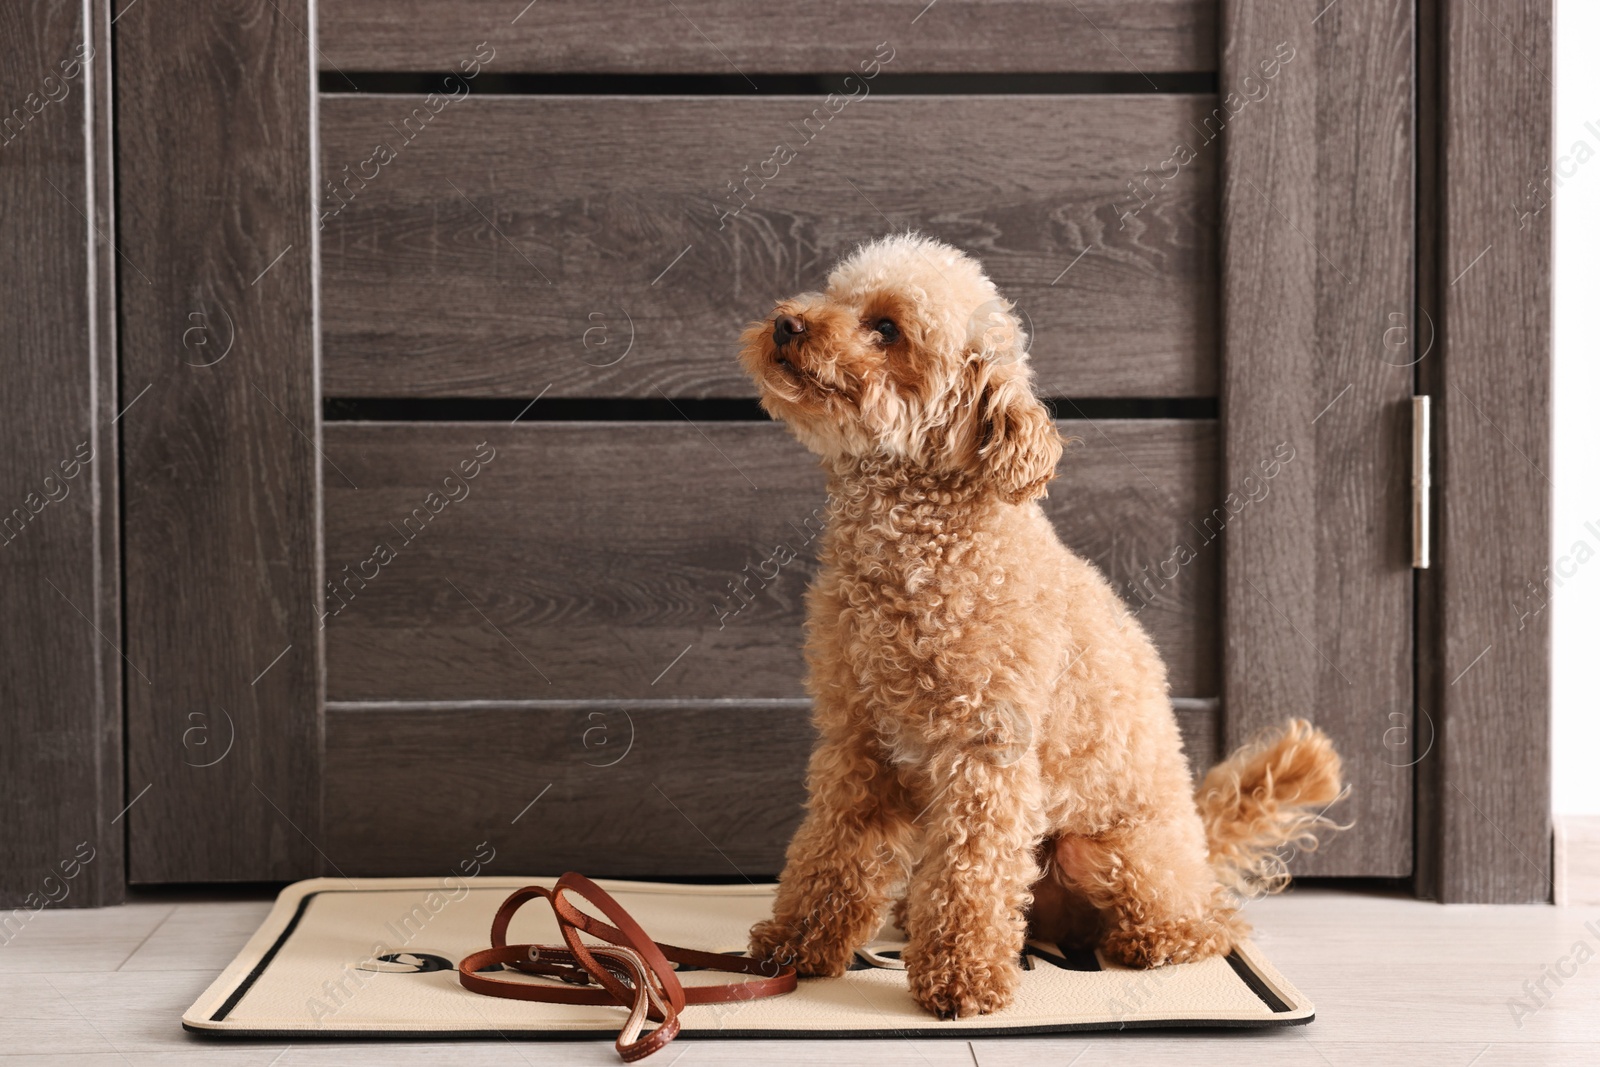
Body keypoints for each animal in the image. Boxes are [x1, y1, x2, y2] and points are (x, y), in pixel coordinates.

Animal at [742, 233, 1344, 1017]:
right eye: (834, 296)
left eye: (887, 329)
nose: (786, 323)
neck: (921, 548)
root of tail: (1201, 846)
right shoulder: (857, 741)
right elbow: (831, 852)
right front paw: (794, 945)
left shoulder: (986, 749)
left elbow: (970, 873)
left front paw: (962, 978)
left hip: (1109, 850)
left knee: (1207, 923)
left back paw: (1157, 940)